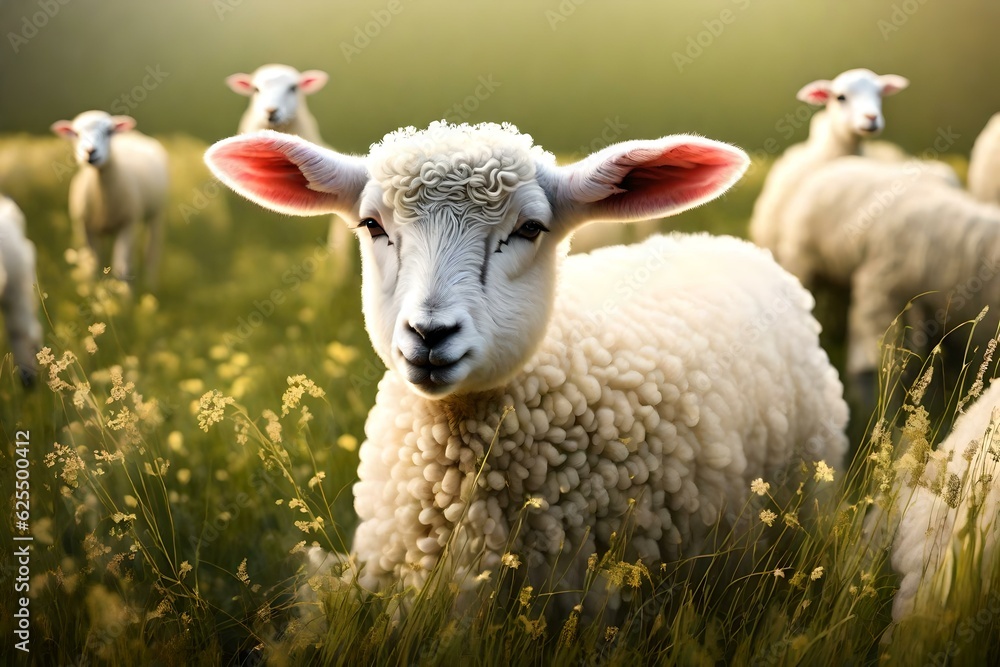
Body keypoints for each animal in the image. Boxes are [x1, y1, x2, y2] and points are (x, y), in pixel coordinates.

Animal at [50, 111, 169, 287]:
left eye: (109, 131)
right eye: (76, 134)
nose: (90, 151)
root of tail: (133, 134)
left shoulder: (127, 223)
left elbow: (121, 268)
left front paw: (122, 293)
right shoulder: (85, 226)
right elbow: (92, 264)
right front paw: (91, 287)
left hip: (156, 213)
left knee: (151, 254)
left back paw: (150, 286)